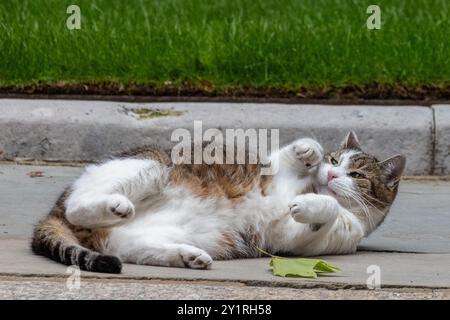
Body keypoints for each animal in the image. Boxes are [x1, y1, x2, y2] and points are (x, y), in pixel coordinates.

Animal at [30, 131, 404, 274]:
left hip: (128, 239)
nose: (331, 174)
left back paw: (188, 256)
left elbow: (322, 213)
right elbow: (289, 154)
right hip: (153, 166)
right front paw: (308, 151)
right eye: (334, 158)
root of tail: (52, 212)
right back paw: (114, 206)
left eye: (357, 174)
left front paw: (309, 205)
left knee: (129, 247)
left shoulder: (303, 240)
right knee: (79, 203)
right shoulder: (274, 168)